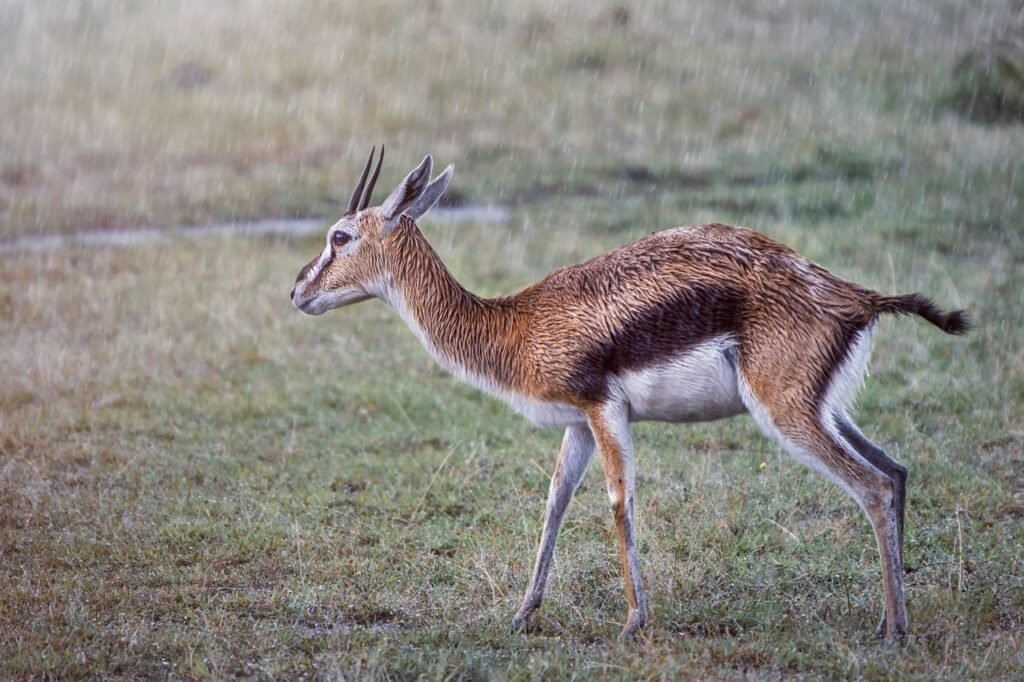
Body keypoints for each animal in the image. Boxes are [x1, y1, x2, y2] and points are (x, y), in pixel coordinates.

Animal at [290, 148, 969, 641]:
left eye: (341, 236)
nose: (297, 291)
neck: (516, 326)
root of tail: (854, 295)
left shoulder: (604, 412)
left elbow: (620, 504)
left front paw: (633, 623)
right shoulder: (577, 424)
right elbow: (554, 505)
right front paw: (521, 616)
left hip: (786, 413)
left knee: (872, 486)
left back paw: (893, 631)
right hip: (820, 409)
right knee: (897, 471)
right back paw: (888, 616)